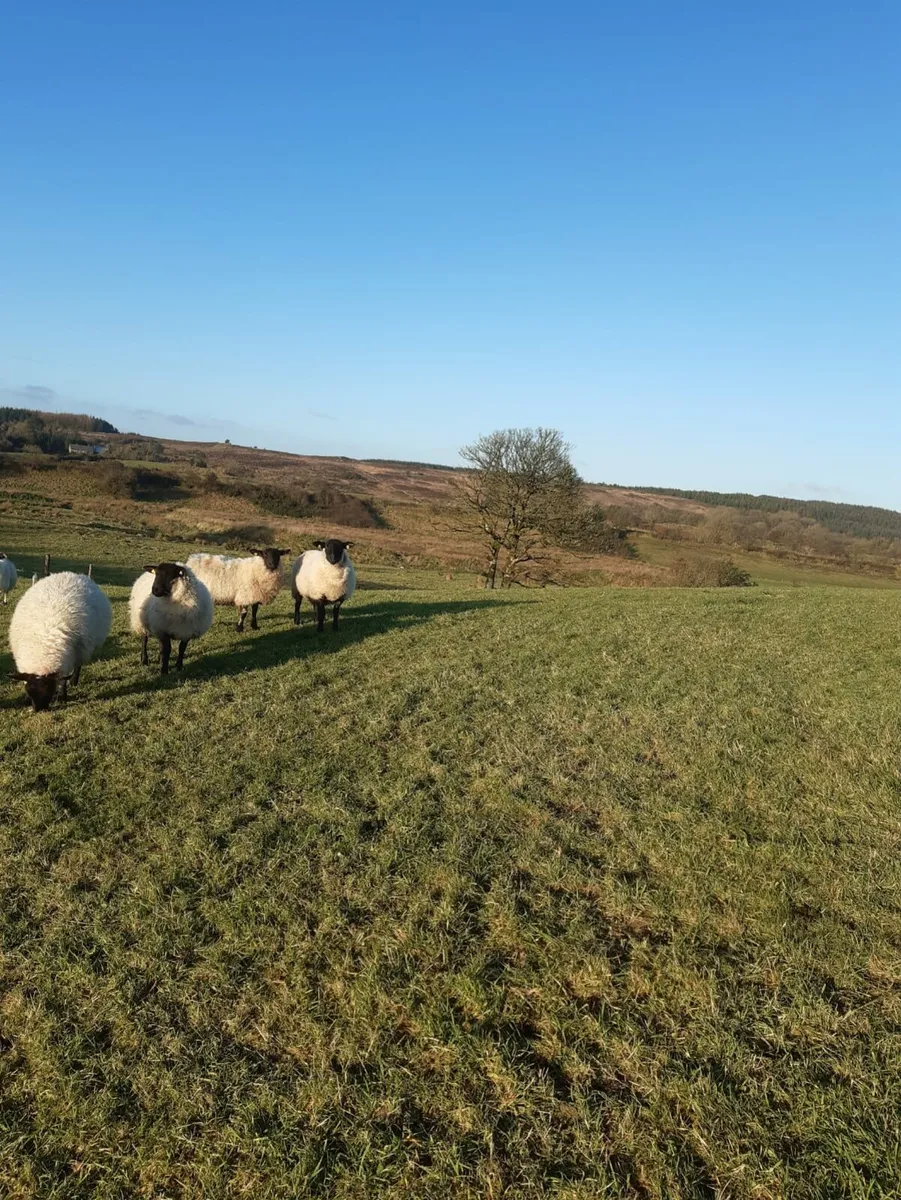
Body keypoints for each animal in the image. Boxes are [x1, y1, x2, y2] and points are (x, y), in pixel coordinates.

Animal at [8, 572, 112, 711]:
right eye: (29, 691)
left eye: (50, 690)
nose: (40, 710)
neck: (43, 648)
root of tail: (71, 574)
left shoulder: (69, 657)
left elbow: (63, 680)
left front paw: (63, 696)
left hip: (82, 649)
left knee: (78, 666)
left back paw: (74, 682)